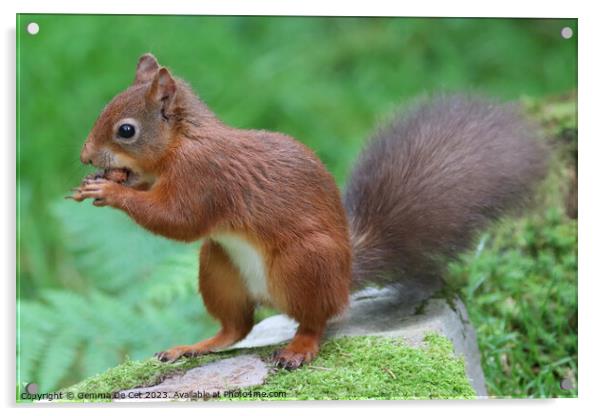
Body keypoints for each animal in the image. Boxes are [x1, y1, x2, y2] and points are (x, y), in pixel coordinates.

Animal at [68, 53, 548, 368]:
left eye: (126, 130)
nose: (85, 155)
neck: (184, 143)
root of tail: (344, 278)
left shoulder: (206, 179)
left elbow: (180, 221)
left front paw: (113, 192)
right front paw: (108, 182)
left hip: (305, 263)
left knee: (317, 321)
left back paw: (298, 348)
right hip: (220, 267)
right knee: (236, 328)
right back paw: (194, 347)